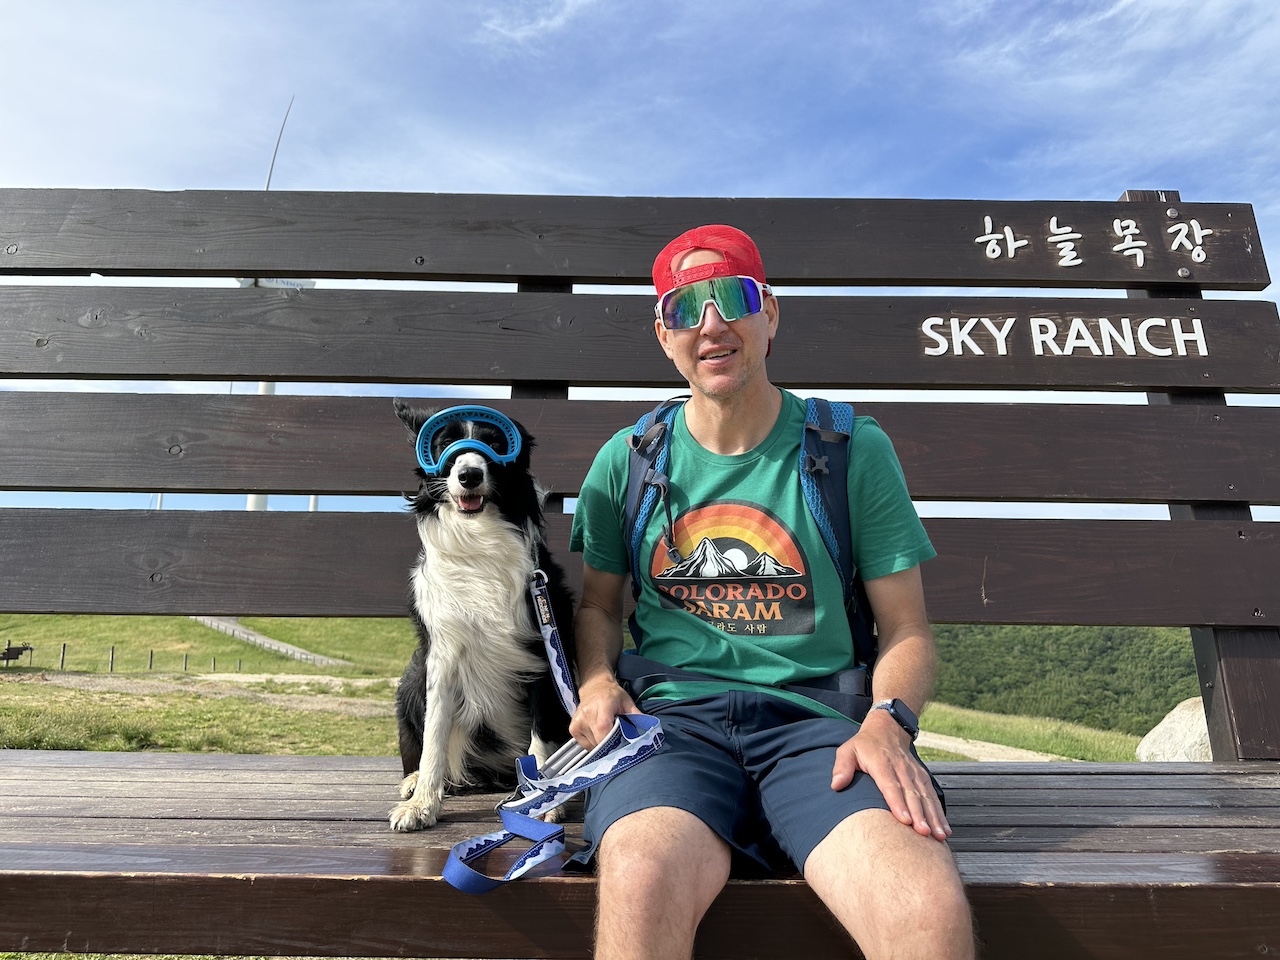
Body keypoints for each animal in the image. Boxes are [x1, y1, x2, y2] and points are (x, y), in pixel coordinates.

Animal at [384, 399, 576, 834]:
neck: (480, 540)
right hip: (410, 684)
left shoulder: (544, 652)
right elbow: (435, 735)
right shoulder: (441, 655)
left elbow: (542, 734)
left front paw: (544, 800)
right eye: (443, 445)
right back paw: (414, 781)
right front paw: (423, 804)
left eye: (496, 444)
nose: (469, 474)